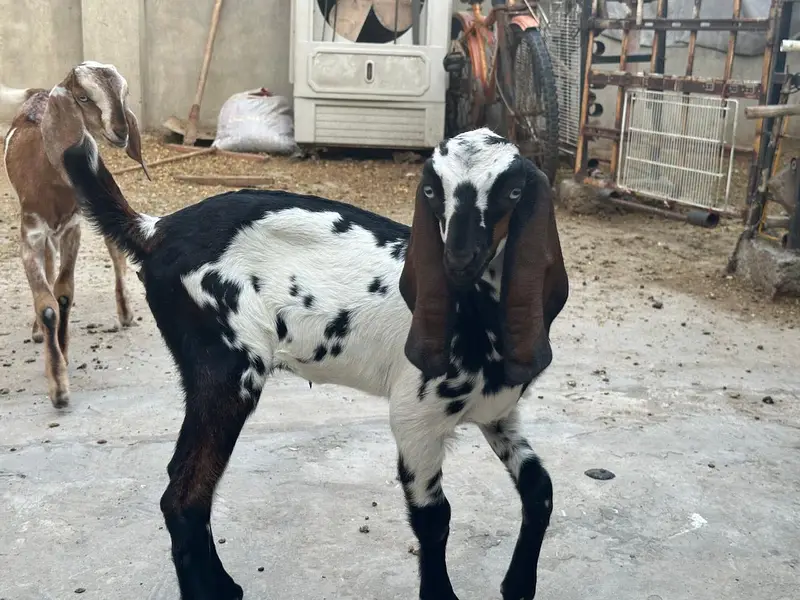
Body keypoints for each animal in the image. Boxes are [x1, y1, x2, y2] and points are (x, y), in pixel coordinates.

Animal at [1, 62, 149, 408]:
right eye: (83, 97)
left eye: (124, 93)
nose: (121, 131)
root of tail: (38, 93)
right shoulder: (30, 233)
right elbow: (47, 303)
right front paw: (58, 387)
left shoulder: (73, 227)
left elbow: (64, 293)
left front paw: (63, 356)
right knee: (48, 262)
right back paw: (38, 331)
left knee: (113, 246)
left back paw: (125, 312)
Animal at [61, 126, 569, 600]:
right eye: (430, 190)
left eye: (513, 191)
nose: (459, 260)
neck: (476, 315)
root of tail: (155, 230)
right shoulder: (415, 418)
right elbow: (434, 517)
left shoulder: (499, 415)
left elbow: (540, 489)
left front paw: (518, 586)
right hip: (227, 368)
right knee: (183, 496)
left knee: (187, 484)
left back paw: (225, 585)